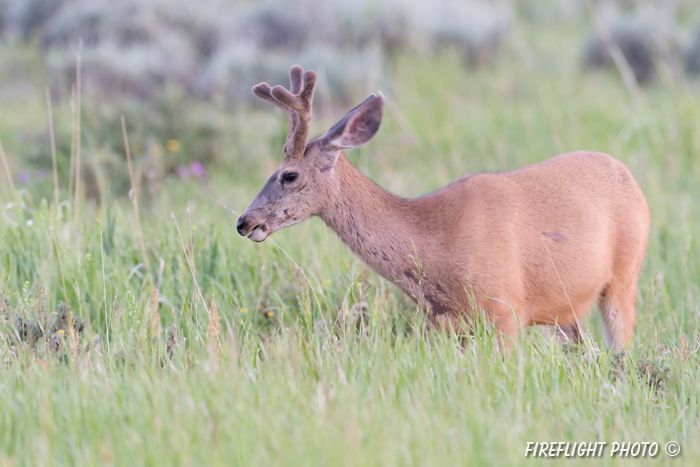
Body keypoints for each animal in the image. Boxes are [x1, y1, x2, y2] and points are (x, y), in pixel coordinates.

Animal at [237, 65, 652, 352]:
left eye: (288, 175)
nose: (244, 222)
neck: (438, 244)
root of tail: (631, 179)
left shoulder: (505, 310)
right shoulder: (447, 324)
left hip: (624, 274)